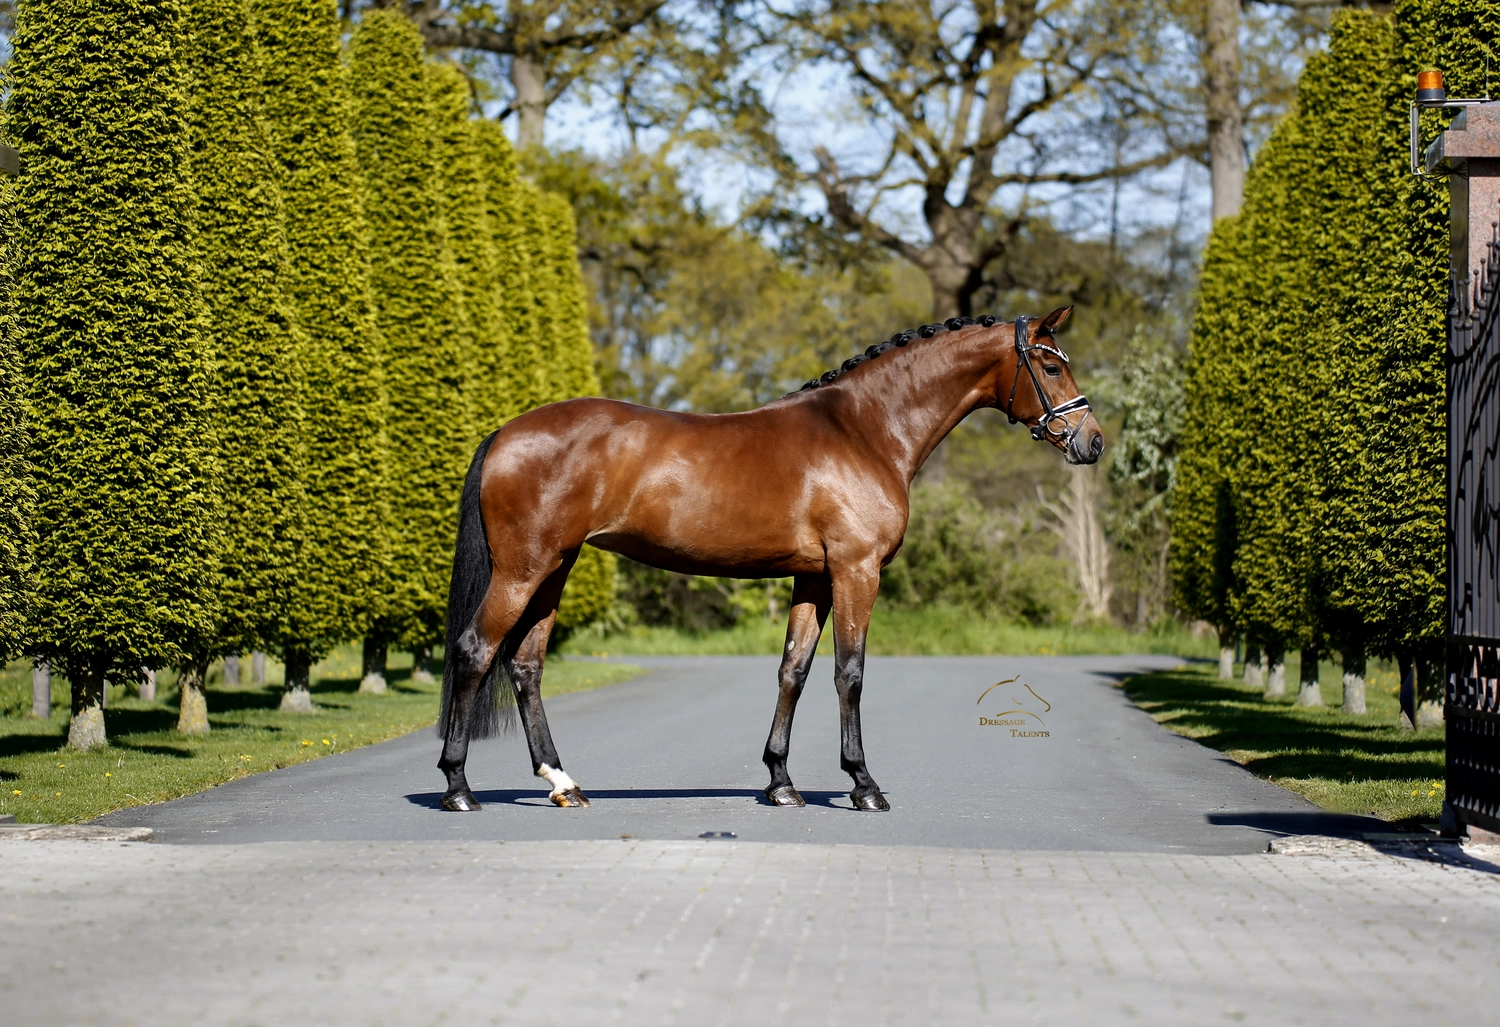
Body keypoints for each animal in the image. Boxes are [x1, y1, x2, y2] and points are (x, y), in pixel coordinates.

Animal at [437, 307, 1103, 813]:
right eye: (1050, 364)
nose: (1091, 441)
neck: (864, 430)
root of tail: (504, 434)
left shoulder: (813, 578)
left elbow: (794, 671)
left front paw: (781, 782)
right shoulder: (856, 571)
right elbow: (850, 673)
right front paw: (863, 785)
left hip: (555, 568)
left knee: (525, 665)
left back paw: (562, 783)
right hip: (523, 570)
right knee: (475, 651)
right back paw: (459, 787)